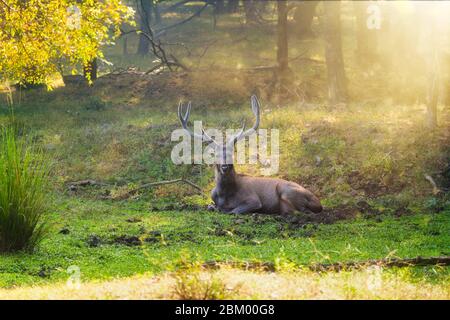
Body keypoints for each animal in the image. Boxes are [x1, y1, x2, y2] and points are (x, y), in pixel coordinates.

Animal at [178, 95, 322, 215]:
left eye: (232, 153)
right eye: (215, 155)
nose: (225, 167)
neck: (225, 195)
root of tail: (319, 202)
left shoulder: (254, 200)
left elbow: (232, 211)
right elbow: (212, 207)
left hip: (287, 191)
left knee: (303, 211)